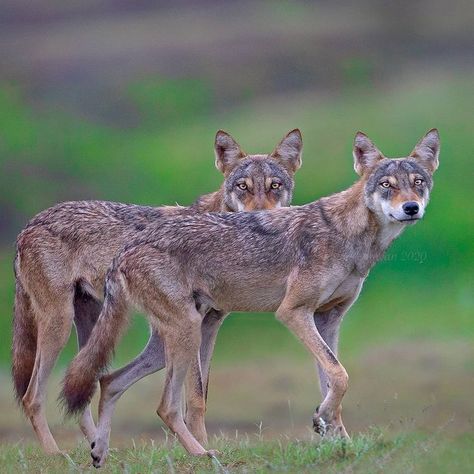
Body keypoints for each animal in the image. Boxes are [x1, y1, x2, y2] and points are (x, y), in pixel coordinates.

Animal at [12, 128, 304, 454]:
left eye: (274, 186)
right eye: (243, 187)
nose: (259, 218)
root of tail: (28, 225)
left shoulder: (209, 327)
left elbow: (200, 399)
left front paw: (200, 447)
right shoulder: (196, 326)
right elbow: (195, 396)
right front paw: (201, 450)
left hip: (95, 328)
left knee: (80, 389)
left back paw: (97, 448)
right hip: (60, 325)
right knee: (32, 397)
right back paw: (57, 454)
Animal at [61, 128, 438, 464]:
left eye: (418, 182)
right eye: (387, 185)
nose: (410, 208)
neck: (349, 237)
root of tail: (126, 249)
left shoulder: (328, 320)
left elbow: (331, 380)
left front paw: (337, 439)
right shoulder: (293, 312)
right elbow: (341, 375)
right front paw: (325, 425)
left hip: (166, 345)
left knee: (109, 381)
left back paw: (100, 453)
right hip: (186, 333)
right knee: (165, 406)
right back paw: (202, 455)